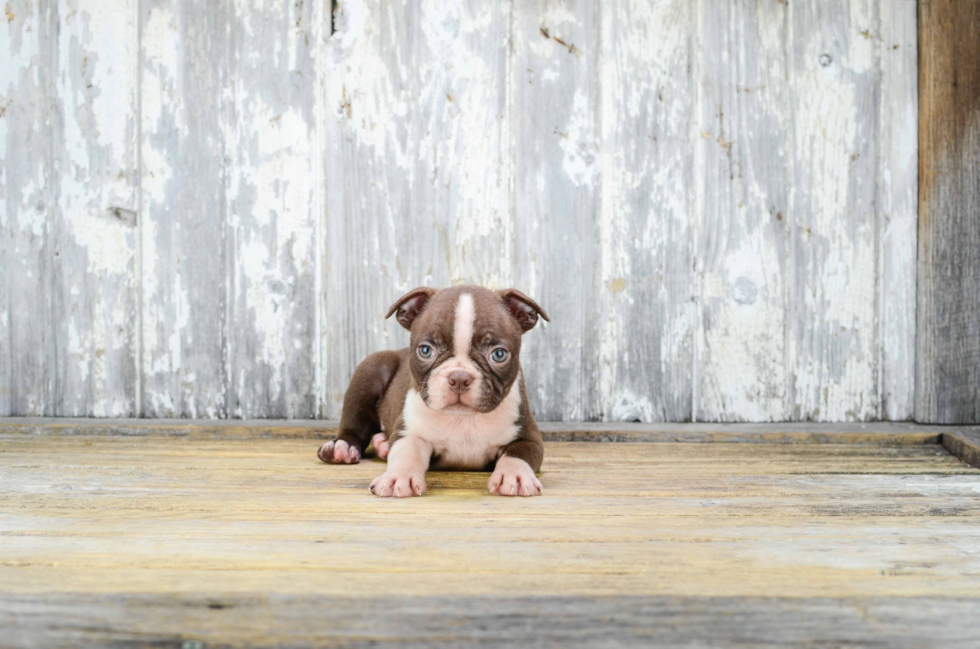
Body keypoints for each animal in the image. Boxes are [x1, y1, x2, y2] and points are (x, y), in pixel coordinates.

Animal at [322, 284, 552, 496]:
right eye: (425, 350)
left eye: (499, 355)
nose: (459, 378)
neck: (463, 420)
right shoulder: (410, 432)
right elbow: (407, 453)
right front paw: (398, 477)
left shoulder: (528, 436)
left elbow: (517, 454)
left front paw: (515, 476)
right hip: (370, 370)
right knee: (354, 424)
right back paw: (342, 448)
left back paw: (382, 444)